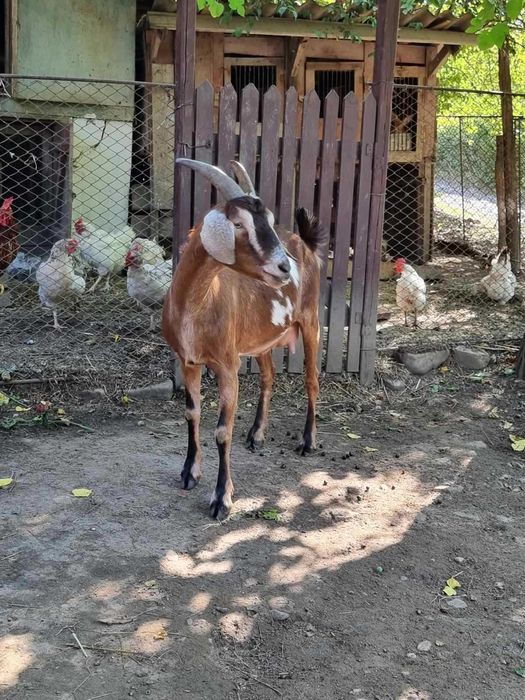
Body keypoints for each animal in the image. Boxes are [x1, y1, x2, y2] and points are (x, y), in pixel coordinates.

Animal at [162, 159, 326, 519]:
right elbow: (192, 413)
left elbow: (223, 431)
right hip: (261, 339)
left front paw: (221, 498)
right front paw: (189, 472)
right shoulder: (188, 361)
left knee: (311, 380)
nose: (284, 267)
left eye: (270, 221)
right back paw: (257, 434)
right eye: (238, 224)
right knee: (269, 376)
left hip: (311, 321)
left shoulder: (227, 366)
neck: (198, 303)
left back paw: (308, 441)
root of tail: (305, 245)